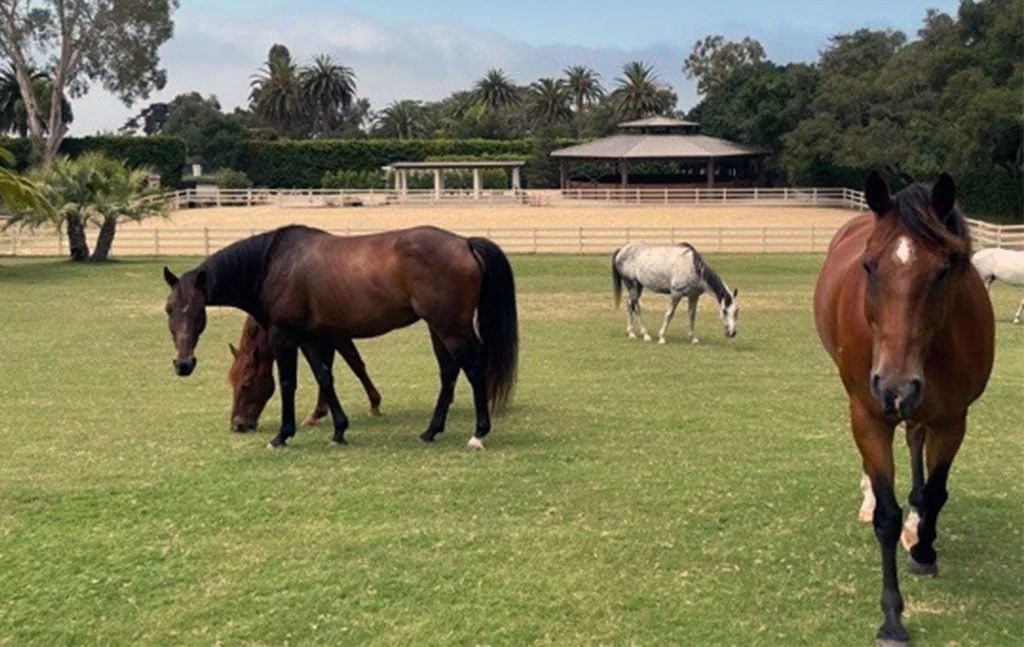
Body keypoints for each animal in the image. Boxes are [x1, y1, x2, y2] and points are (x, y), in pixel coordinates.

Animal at [227, 315, 382, 432]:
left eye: (246, 384)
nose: (237, 425)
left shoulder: (337, 337)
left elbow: (356, 366)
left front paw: (374, 404)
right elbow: (325, 372)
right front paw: (317, 413)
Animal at [813, 172, 994, 646]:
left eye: (943, 270)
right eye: (869, 266)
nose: (894, 385)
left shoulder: (952, 419)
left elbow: (935, 491)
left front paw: (925, 548)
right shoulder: (870, 415)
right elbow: (887, 517)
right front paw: (892, 618)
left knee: (915, 444)